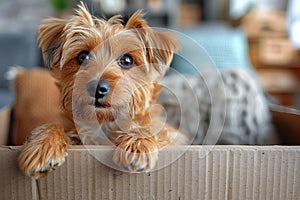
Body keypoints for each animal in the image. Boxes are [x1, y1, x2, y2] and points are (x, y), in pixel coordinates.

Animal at [17, 3, 188, 178]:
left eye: (127, 60)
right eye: (83, 56)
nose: (97, 88)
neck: (104, 124)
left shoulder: (173, 135)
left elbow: (152, 128)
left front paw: (137, 146)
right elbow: (54, 125)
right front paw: (43, 146)